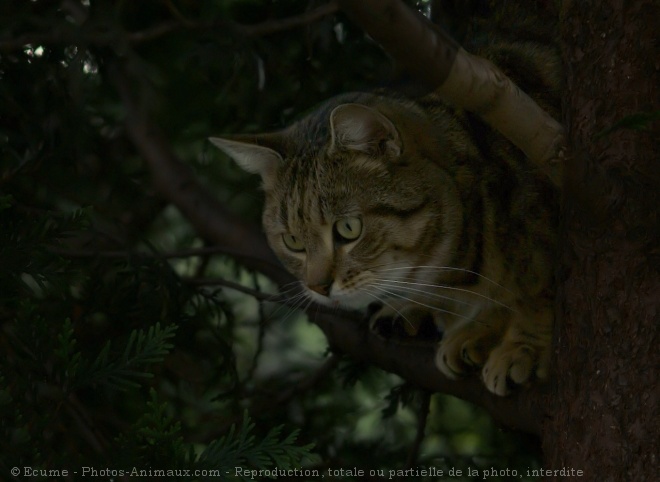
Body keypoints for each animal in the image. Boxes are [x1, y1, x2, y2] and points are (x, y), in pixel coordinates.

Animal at [209, 29, 560, 396]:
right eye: (292, 241)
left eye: (348, 228)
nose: (318, 287)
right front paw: (479, 329)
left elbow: (540, 296)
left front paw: (523, 346)